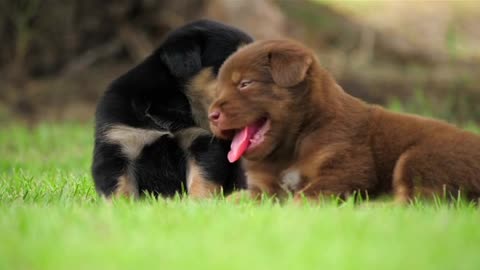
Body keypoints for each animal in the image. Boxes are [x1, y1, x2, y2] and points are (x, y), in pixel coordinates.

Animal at [91, 20, 253, 198]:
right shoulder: (118, 143)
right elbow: (120, 188)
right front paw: (121, 204)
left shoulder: (199, 143)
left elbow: (201, 179)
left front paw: (198, 202)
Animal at [208, 39, 480, 201]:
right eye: (217, 89)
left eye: (245, 83)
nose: (212, 115)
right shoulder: (263, 187)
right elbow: (234, 198)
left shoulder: (345, 169)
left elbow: (305, 196)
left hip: (420, 158)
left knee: (418, 200)